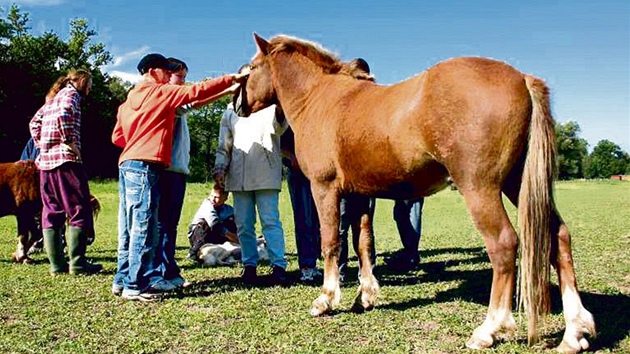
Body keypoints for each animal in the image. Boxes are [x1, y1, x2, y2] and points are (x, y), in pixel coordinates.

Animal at [239, 34, 596, 354]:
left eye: (252, 68)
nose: (238, 105)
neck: (322, 99)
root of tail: (522, 79)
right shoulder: (360, 194)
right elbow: (363, 243)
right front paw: (366, 296)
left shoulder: (324, 188)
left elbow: (330, 243)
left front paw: (325, 300)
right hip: (517, 184)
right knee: (558, 238)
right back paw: (573, 332)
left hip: (480, 188)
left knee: (504, 244)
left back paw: (489, 329)